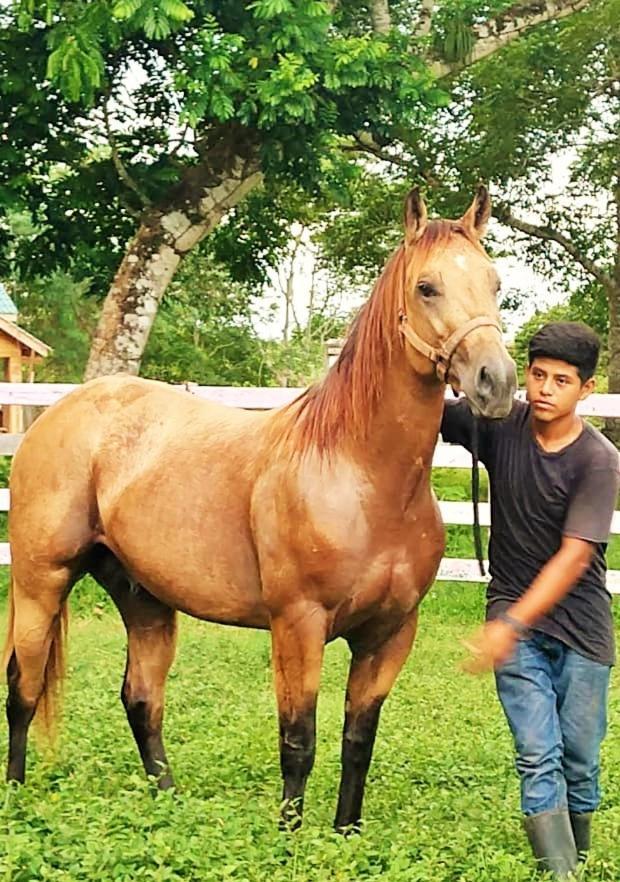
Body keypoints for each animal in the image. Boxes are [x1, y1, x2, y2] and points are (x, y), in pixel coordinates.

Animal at [3, 184, 520, 824]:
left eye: (495, 282)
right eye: (427, 287)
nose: (496, 382)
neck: (360, 475)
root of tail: (61, 412)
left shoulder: (391, 633)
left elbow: (358, 741)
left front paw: (345, 832)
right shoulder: (297, 624)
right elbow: (298, 740)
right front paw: (290, 834)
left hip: (144, 598)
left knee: (141, 698)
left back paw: (167, 802)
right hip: (40, 582)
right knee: (22, 688)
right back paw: (17, 795)